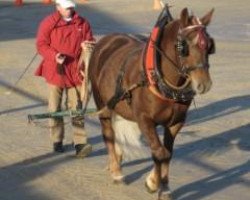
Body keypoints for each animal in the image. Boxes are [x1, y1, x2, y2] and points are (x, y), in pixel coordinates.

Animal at [88, 6, 215, 200]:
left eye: (209, 46)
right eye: (184, 46)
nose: (204, 84)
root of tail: (108, 40)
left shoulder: (175, 123)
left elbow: (167, 153)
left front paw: (164, 187)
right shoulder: (145, 120)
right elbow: (159, 151)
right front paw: (153, 183)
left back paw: (117, 158)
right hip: (103, 104)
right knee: (108, 134)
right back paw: (116, 171)